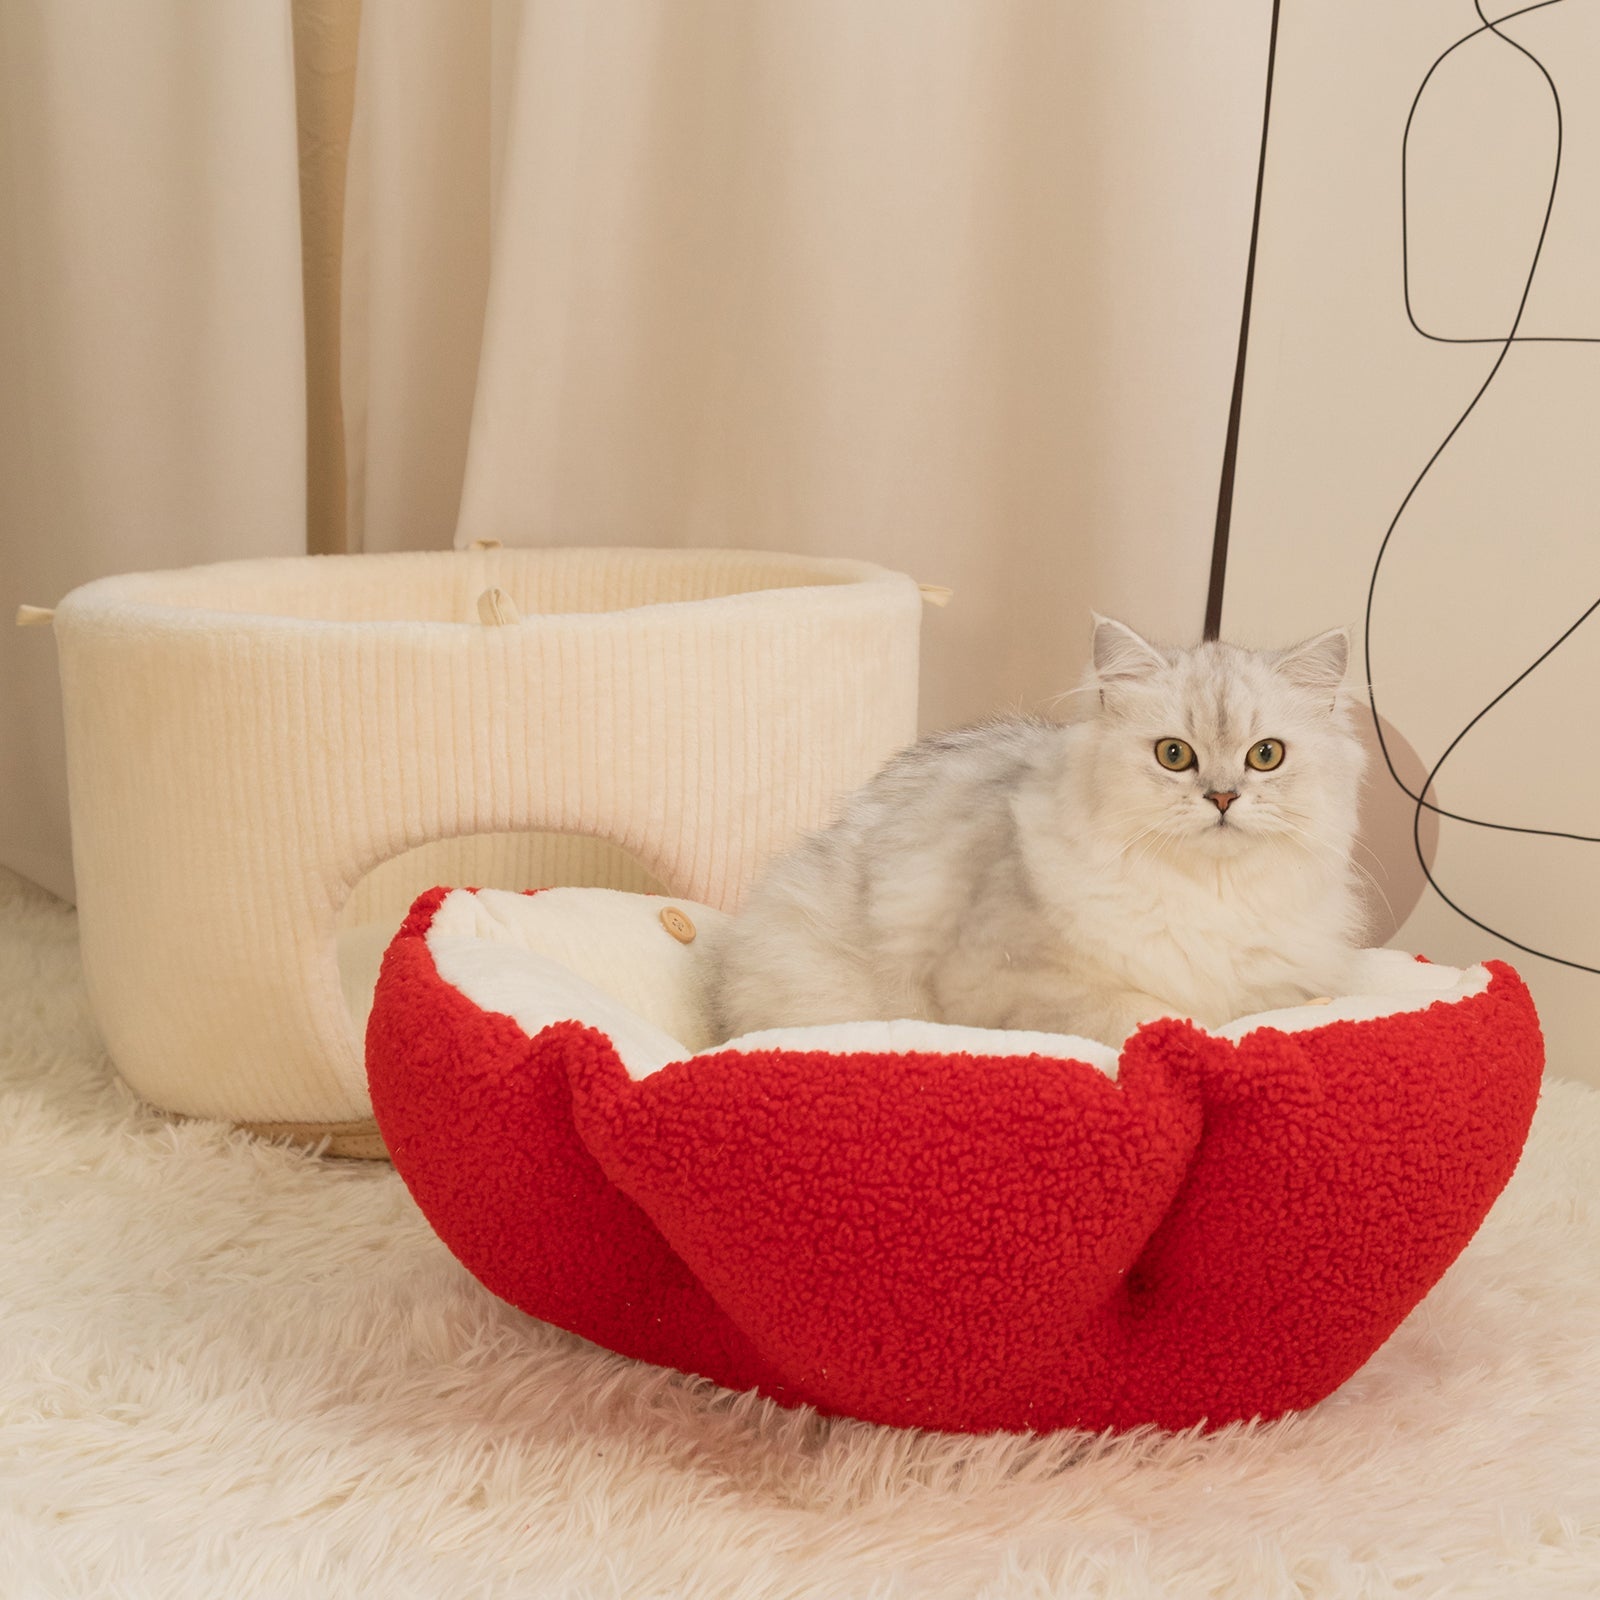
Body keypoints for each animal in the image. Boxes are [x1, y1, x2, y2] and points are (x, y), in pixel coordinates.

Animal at [716, 620, 1376, 1049]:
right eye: (1173, 755)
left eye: (1265, 756)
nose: (1222, 798)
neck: (1210, 896)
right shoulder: (1010, 986)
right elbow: (1156, 1017)